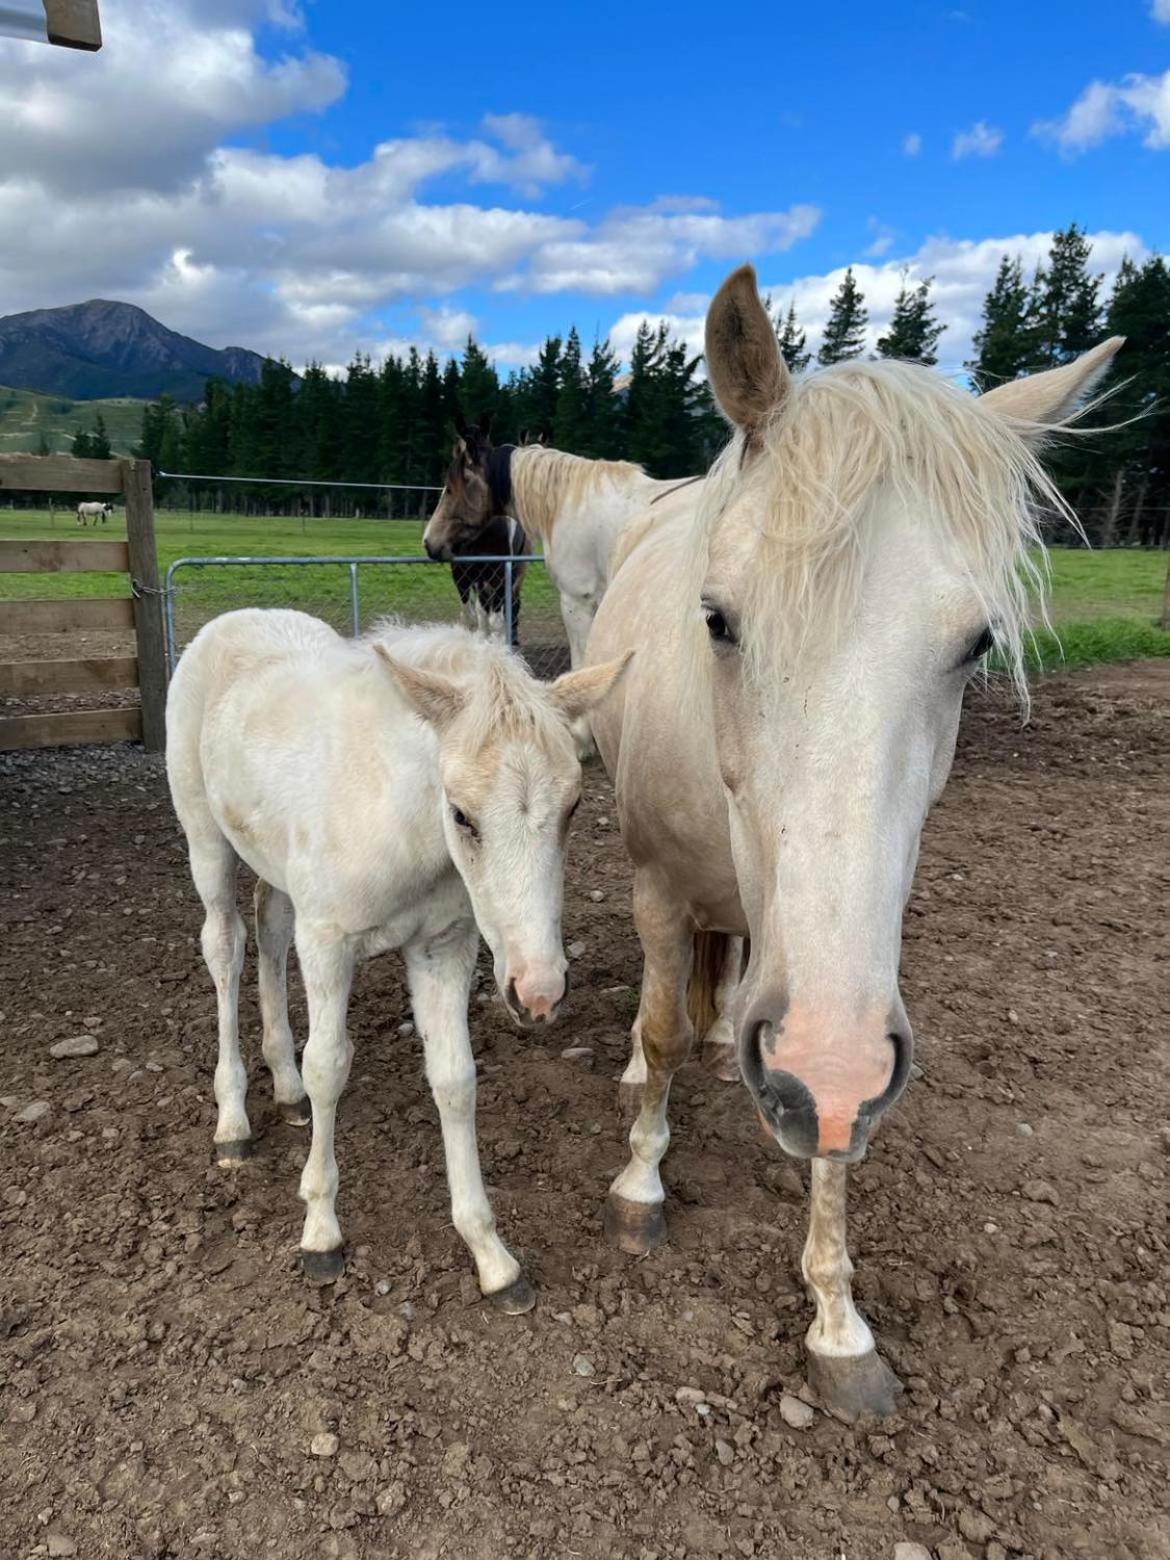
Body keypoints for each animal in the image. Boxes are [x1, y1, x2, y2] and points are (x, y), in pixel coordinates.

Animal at [166, 608, 633, 1304]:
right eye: (461, 814)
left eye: (574, 807)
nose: (539, 992)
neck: (402, 825)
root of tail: (231, 621)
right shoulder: (328, 942)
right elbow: (330, 1064)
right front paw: (321, 1232)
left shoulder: (443, 946)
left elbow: (455, 1079)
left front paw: (493, 1257)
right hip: (206, 842)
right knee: (225, 948)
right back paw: (233, 1123)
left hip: (277, 868)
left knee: (270, 928)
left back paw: (285, 1088)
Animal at [589, 271, 1123, 1428]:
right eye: (716, 619)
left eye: (976, 644)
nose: (817, 1070)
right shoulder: (659, 890)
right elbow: (658, 1029)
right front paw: (641, 1184)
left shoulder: (844, 990)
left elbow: (832, 1135)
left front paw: (838, 1323)